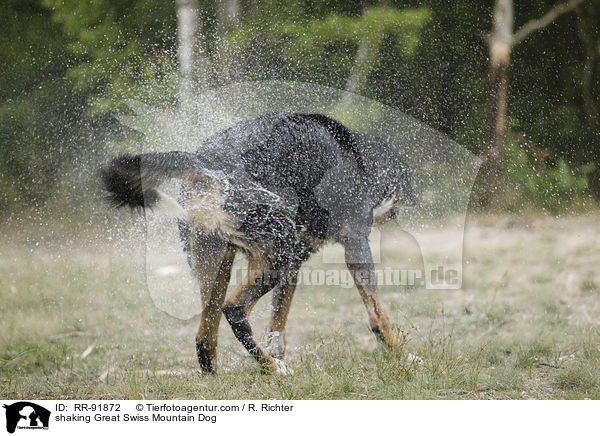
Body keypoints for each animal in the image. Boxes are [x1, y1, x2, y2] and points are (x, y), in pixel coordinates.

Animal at [101, 110, 414, 372]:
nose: (401, 208)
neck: (352, 156)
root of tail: (205, 163)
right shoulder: (355, 243)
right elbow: (378, 315)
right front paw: (402, 355)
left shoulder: (294, 266)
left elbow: (278, 322)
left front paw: (277, 352)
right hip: (275, 257)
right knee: (234, 311)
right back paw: (272, 370)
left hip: (220, 268)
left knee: (205, 337)